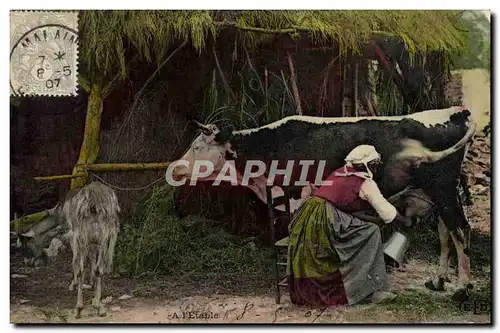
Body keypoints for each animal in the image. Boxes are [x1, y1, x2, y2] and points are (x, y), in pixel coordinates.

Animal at [170, 107, 478, 300]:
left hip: (444, 191)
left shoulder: (296, 196)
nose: (174, 169)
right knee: (445, 234)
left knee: (460, 230)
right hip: (437, 196)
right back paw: (438, 281)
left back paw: (462, 289)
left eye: (197, 147)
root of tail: (456, 111)